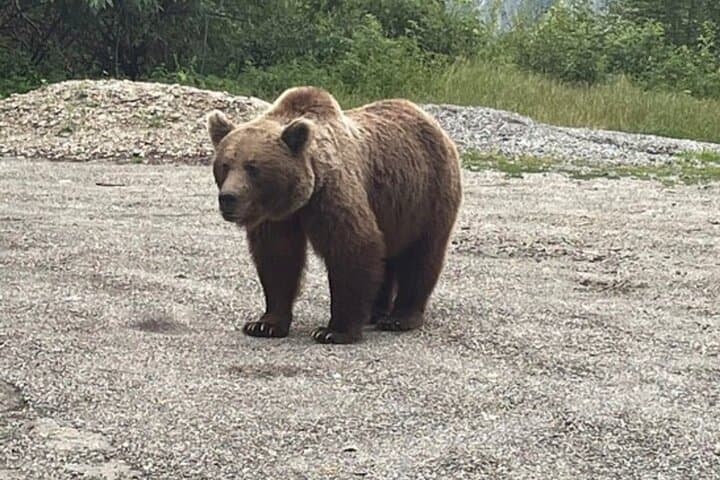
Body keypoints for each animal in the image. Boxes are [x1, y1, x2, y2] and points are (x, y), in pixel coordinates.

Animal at [207, 86, 462, 344]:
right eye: (225, 165)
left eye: (253, 167)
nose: (228, 197)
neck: (299, 198)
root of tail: (433, 123)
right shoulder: (277, 218)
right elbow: (277, 258)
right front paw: (264, 324)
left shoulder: (331, 195)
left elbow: (351, 247)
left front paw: (333, 330)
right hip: (392, 208)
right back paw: (375, 311)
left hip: (427, 196)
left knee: (420, 255)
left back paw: (400, 318)